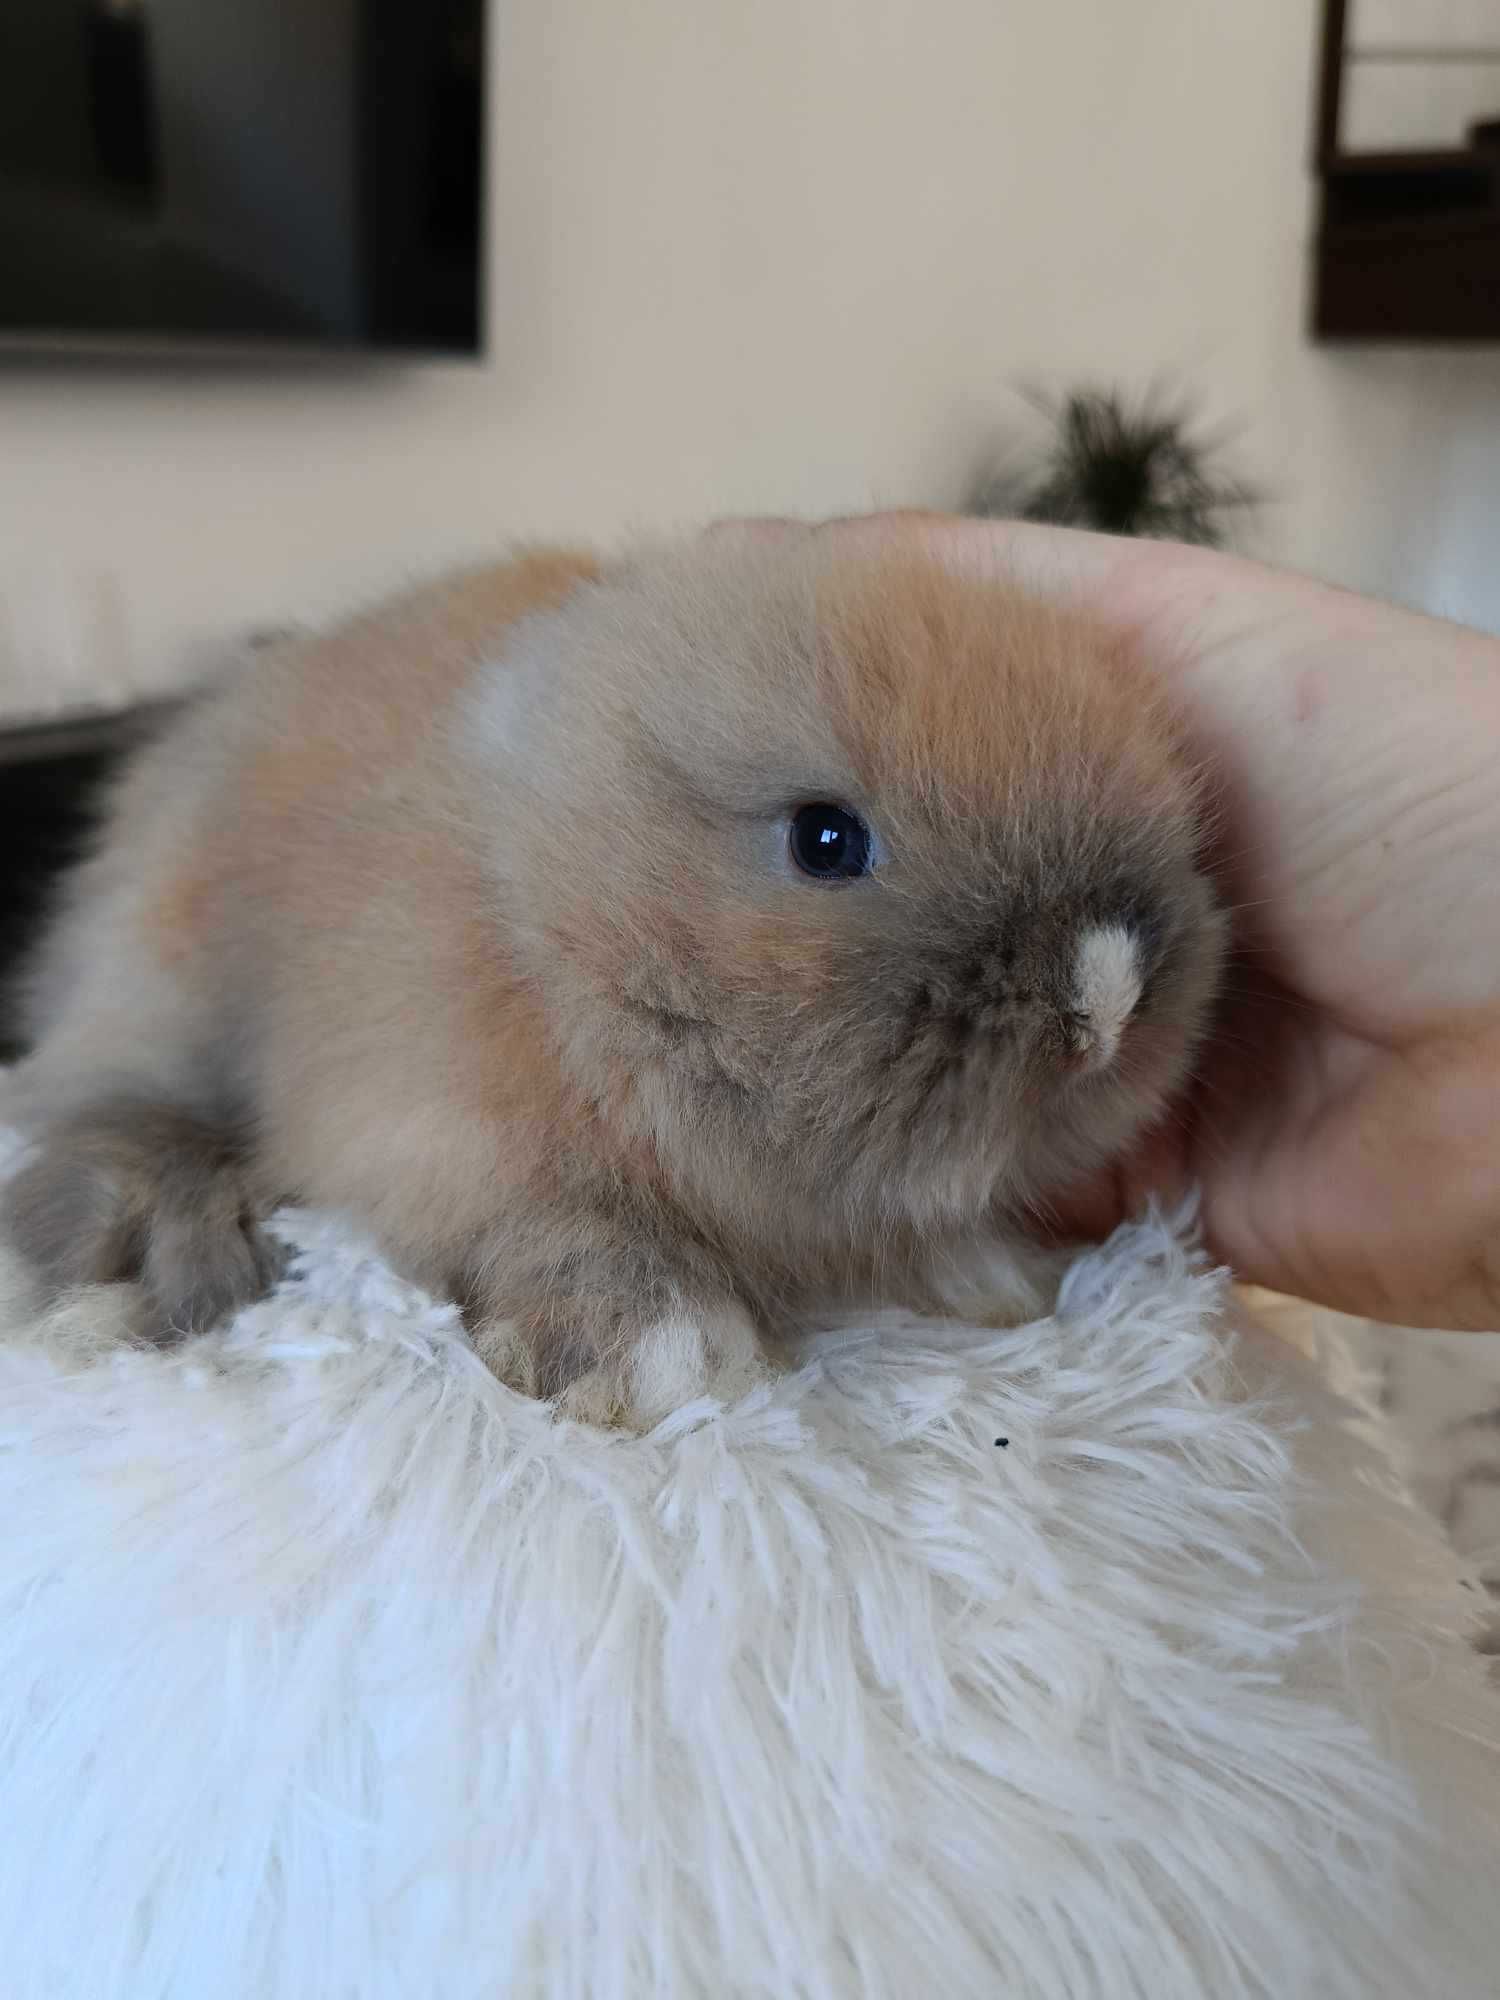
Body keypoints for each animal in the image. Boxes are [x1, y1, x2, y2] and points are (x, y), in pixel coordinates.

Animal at [5, 532, 1224, 1424]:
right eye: (826, 841)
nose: (1107, 996)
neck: (561, 921)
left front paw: (994, 1279)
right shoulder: (454, 1145)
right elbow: (570, 1229)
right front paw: (669, 1357)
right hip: (157, 987)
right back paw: (114, 1279)